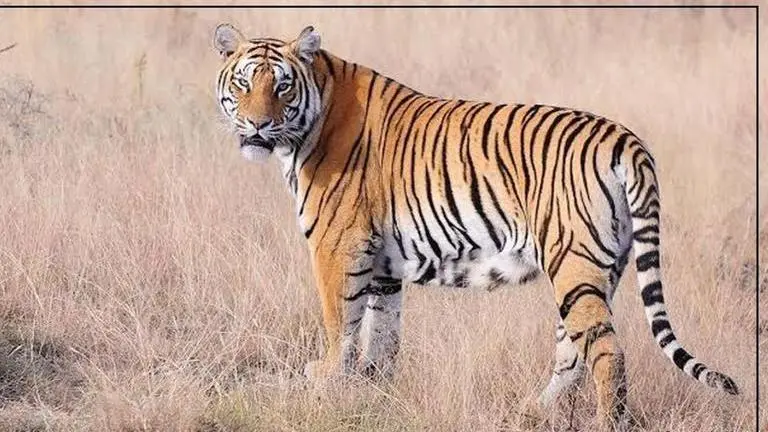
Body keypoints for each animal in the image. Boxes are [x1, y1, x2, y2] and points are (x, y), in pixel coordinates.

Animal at [212, 24, 739, 430]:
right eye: (243, 84)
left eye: (281, 87)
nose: (257, 126)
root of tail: (626, 138)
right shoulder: (382, 265)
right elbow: (381, 337)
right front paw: (373, 396)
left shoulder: (337, 246)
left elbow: (339, 320)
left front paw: (324, 380)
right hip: (599, 268)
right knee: (573, 350)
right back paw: (532, 411)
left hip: (573, 262)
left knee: (607, 351)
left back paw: (607, 422)